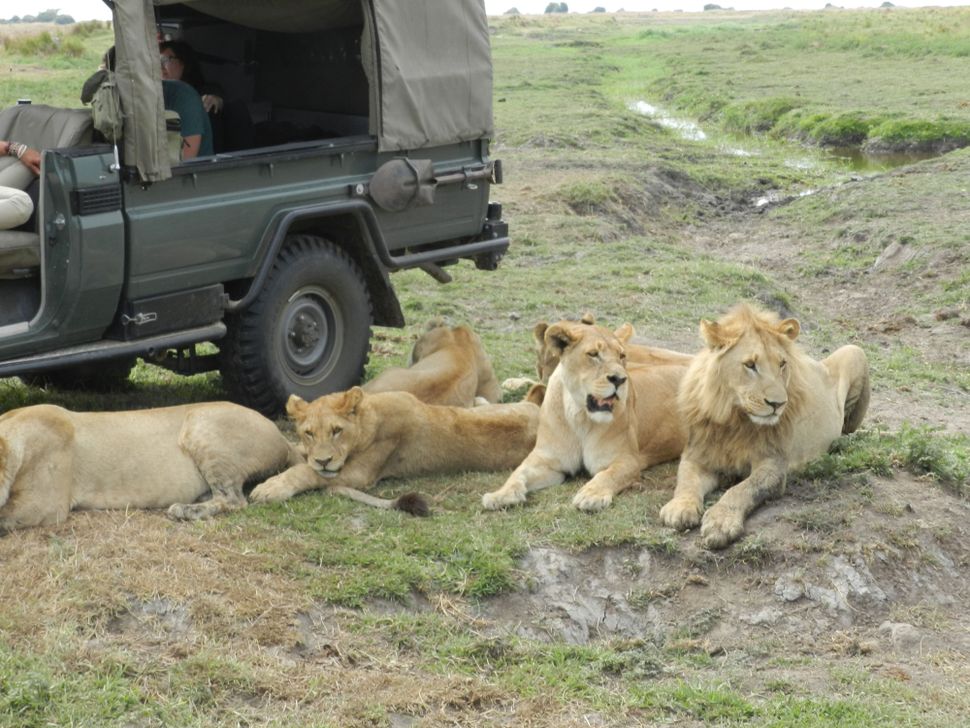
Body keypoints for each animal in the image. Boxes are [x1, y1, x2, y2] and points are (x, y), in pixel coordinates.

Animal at [248, 386, 536, 512]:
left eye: (337, 430)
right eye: (309, 433)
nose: (323, 460)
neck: (368, 415)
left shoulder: (360, 474)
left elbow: (306, 472)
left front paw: (271, 487)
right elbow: (299, 456)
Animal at [480, 318, 684, 512]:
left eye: (622, 355)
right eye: (593, 354)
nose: (619, 379)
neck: (579, 415)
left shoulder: (627, 460)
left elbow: (607, 475)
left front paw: (591, 495)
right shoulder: (547, 459)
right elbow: (518, 472)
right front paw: (500, 495)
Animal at [656, 300, 868, 544]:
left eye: (782, 364)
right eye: (750, 365)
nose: (778, 404)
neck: (735, 419)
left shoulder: (773, 464)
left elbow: (743, 489)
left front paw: (721, 521)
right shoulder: (698, 454)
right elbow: (686, 480)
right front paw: (679, 508)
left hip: (854, 351)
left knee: (848, 428)